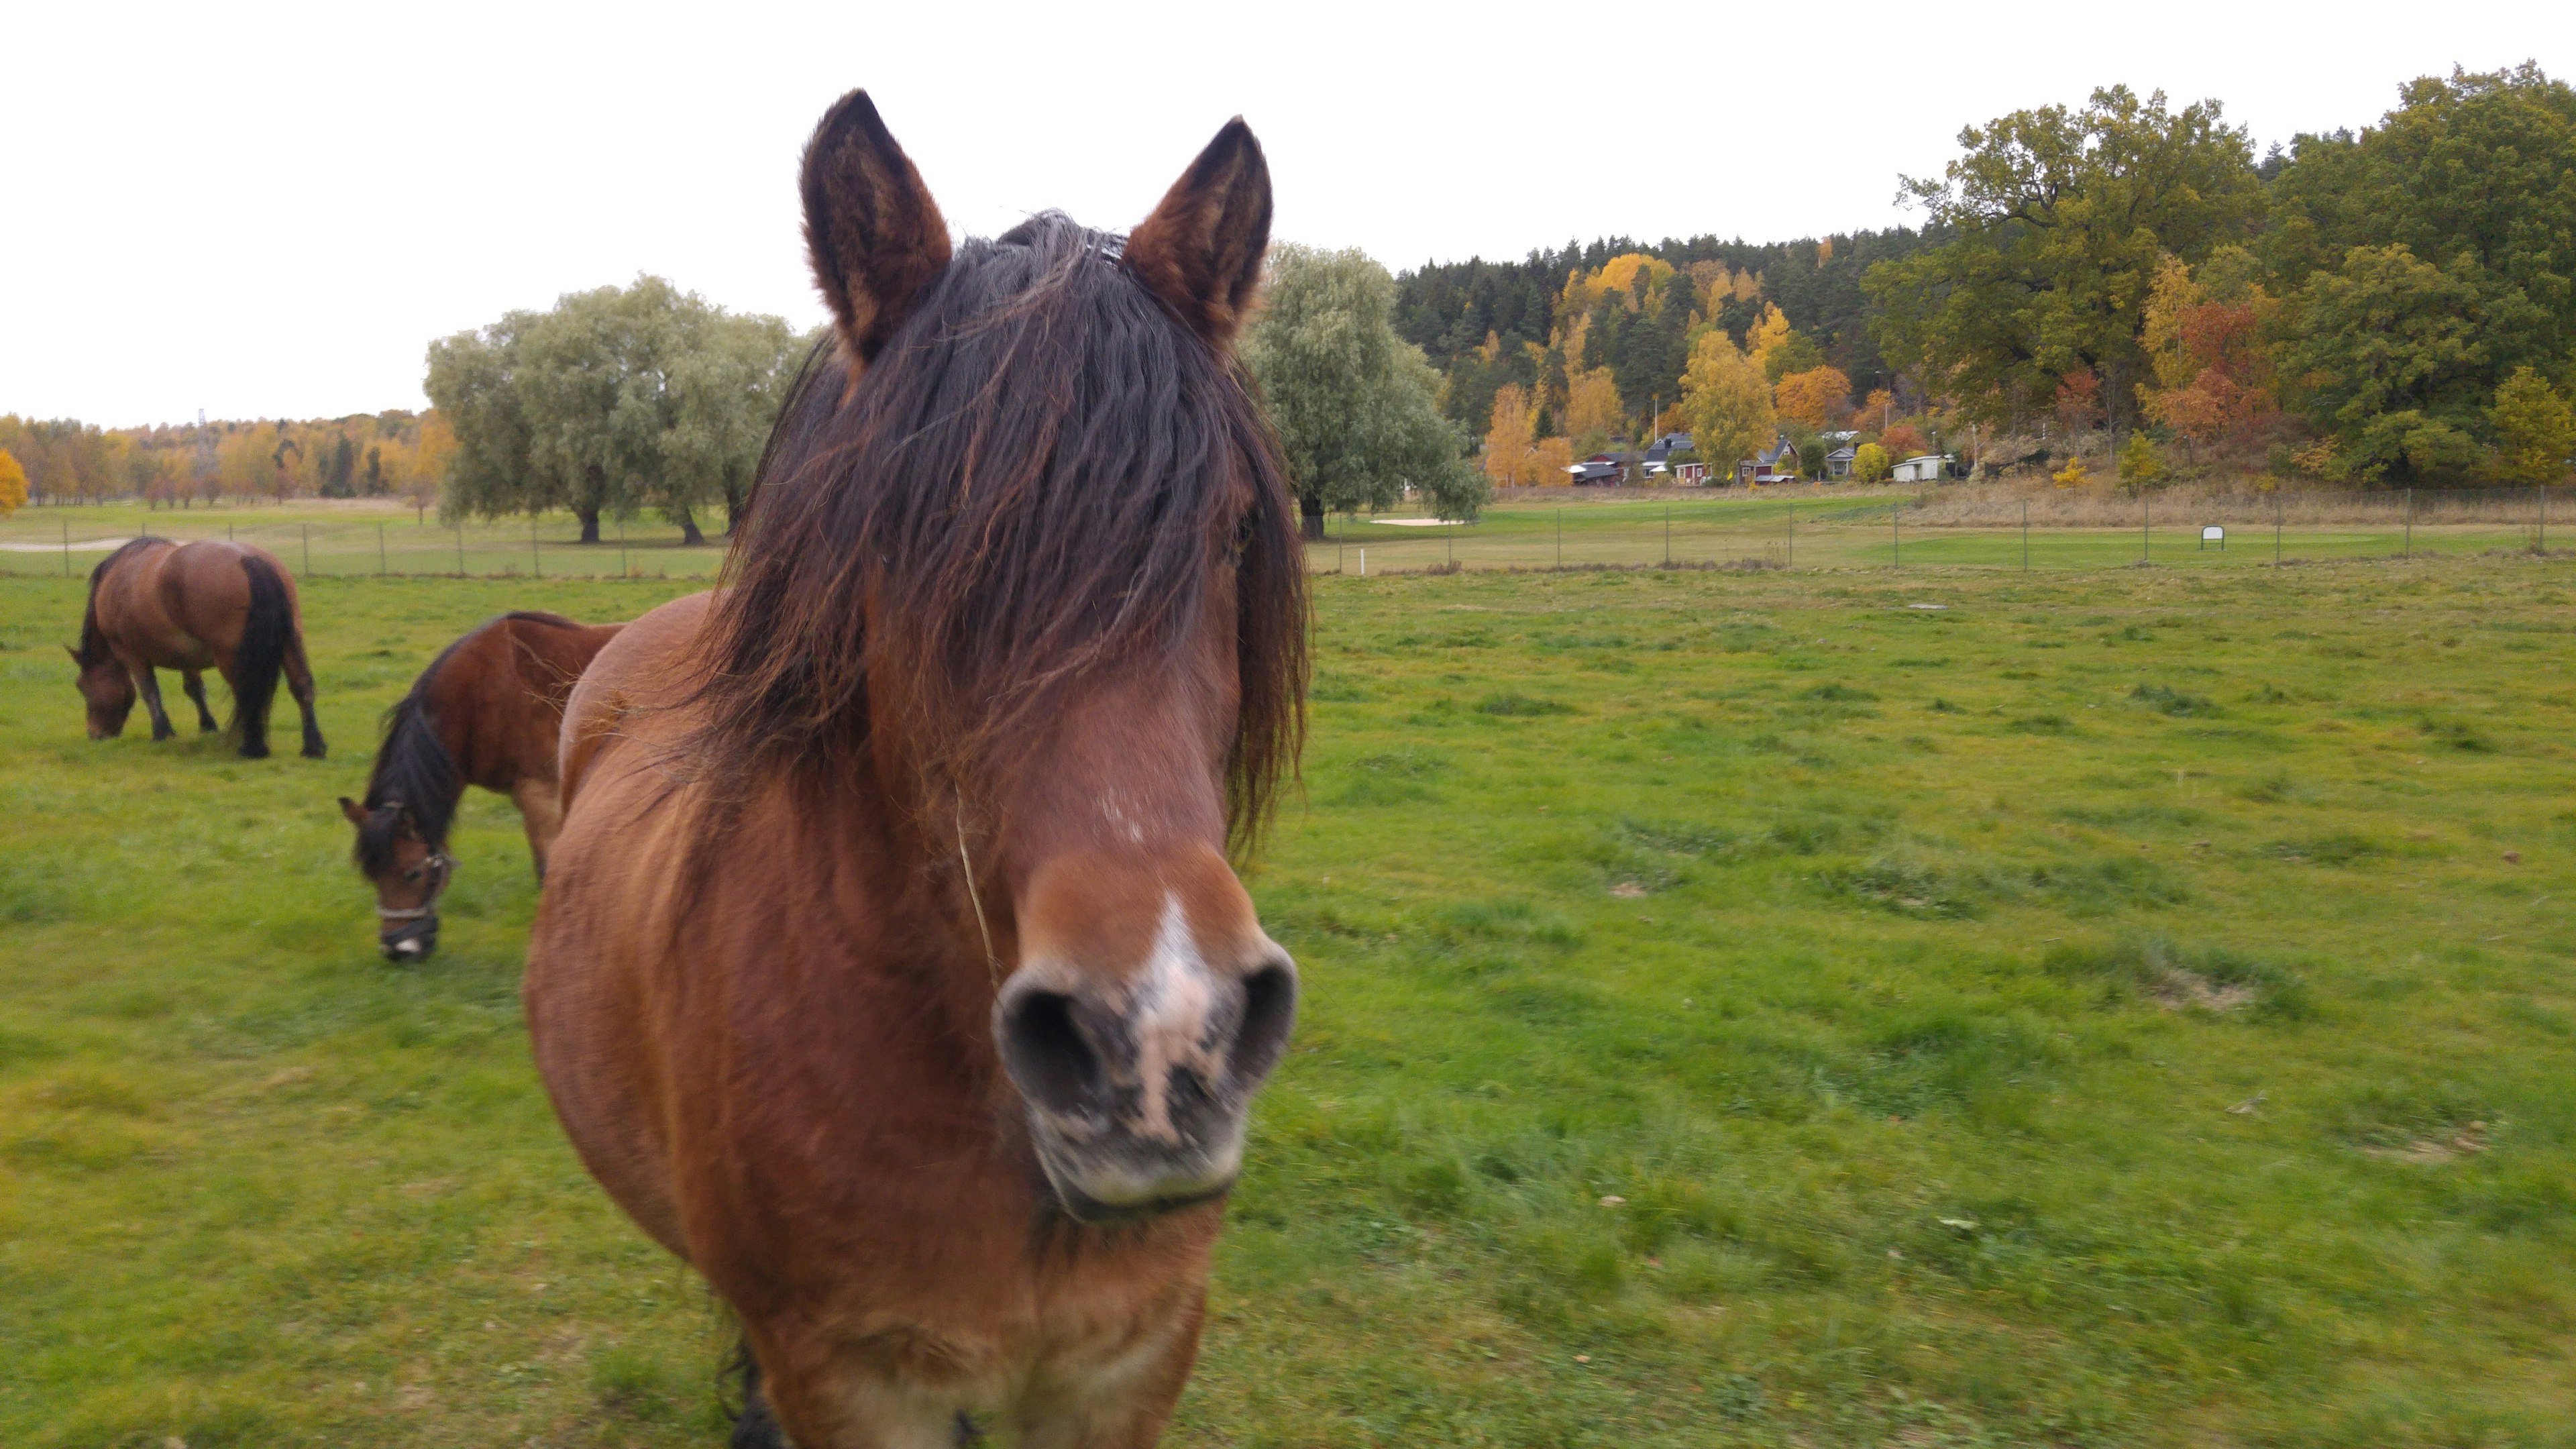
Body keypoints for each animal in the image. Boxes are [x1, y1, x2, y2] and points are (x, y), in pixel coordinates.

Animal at [70, 531, 327, 757]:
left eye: (82, 686)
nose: (95, 734)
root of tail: (250, 560)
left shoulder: (132, 655)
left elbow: (150, 691)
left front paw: (162, 732)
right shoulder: (185, 654)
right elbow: (195, 689)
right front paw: (207, 725)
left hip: (232, 656)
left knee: (246, 694)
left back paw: (251, 747)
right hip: (291, 642)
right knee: (301, 685)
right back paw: (313, 747)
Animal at [335, 608, 621, 959]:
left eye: (413, 873)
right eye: (372, 875)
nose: (398, 951)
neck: (484, 692)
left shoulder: (541, 793)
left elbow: (549, 868)